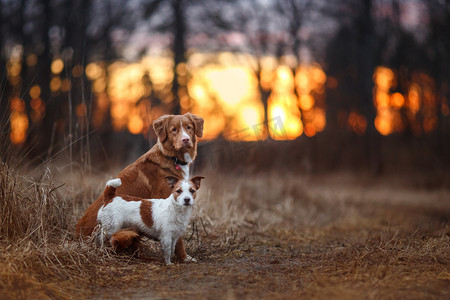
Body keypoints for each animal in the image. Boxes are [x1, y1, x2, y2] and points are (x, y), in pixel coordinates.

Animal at [76, 112, 203, 262]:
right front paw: (183, 257)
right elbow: (178, 239)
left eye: (189, 127)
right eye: (174, 130)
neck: (172, 158)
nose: (185, 139)